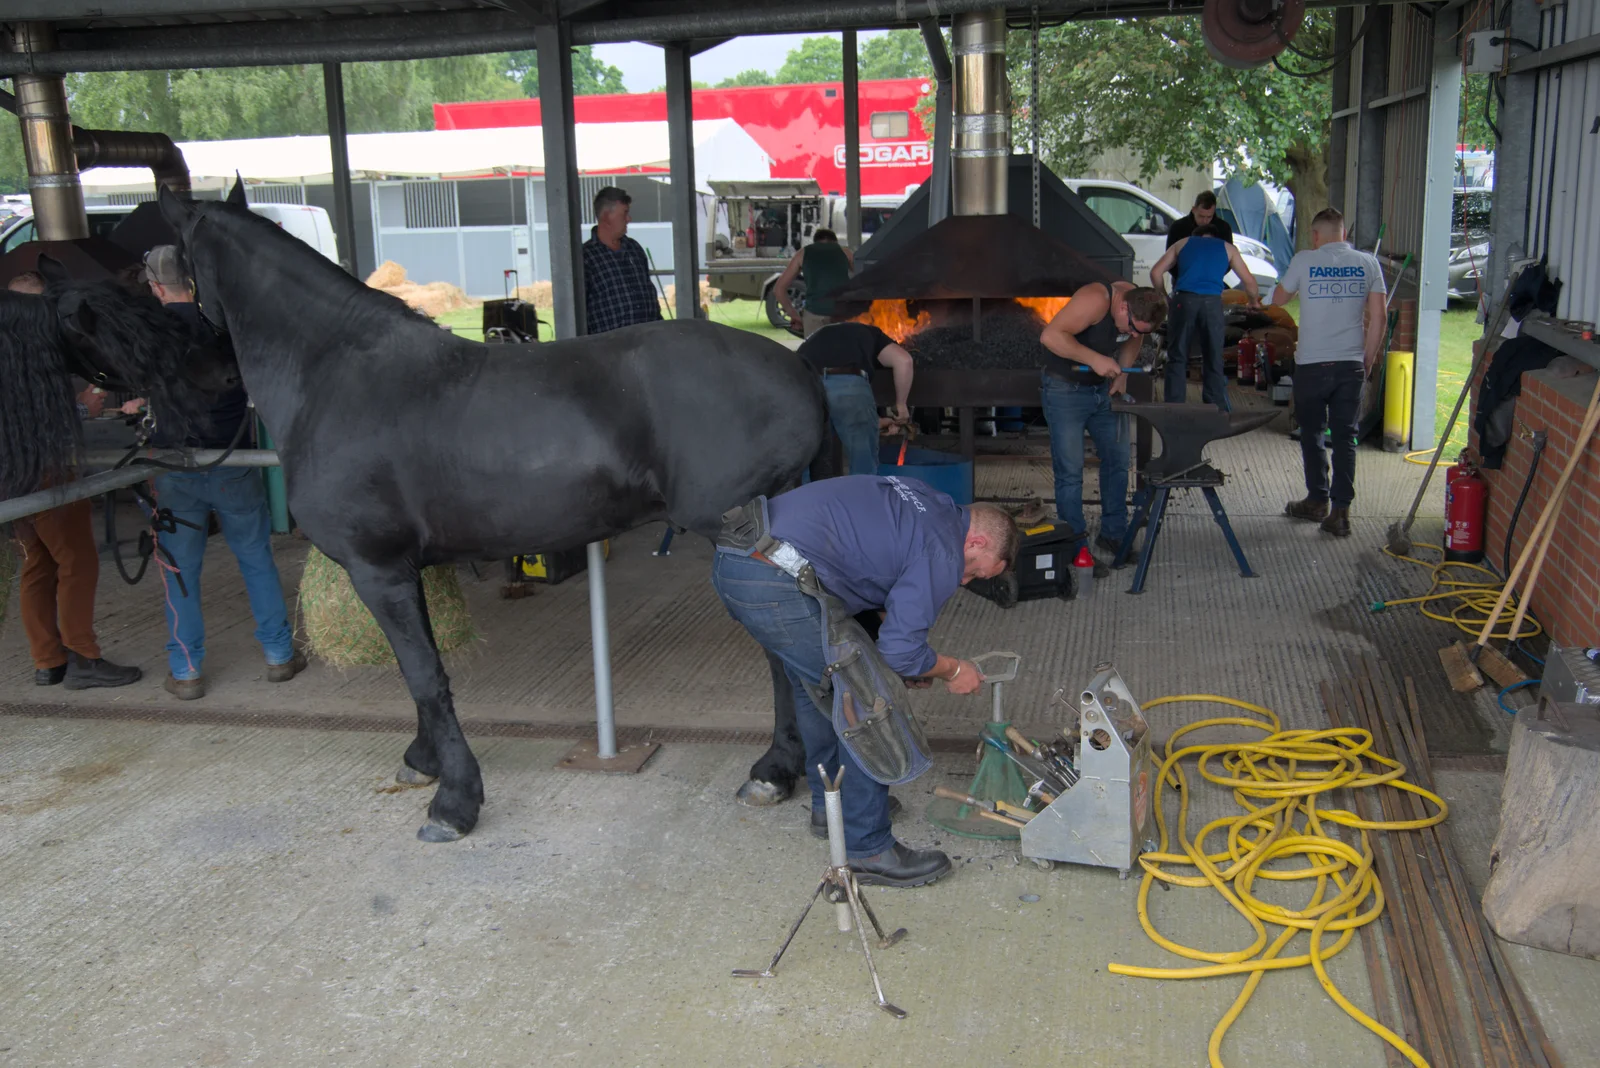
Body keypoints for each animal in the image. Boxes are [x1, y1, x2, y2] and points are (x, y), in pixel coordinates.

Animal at [150, 185, 819, 844]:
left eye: (172, 264)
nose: (195, 377)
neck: (335, 373)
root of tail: (797, 372)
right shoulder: (406, 572)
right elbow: (421, 671)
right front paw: (423, 761)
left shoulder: (376, 570)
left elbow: (423, 675)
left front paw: (454, 801)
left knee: (784, 655)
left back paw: (774, 772)